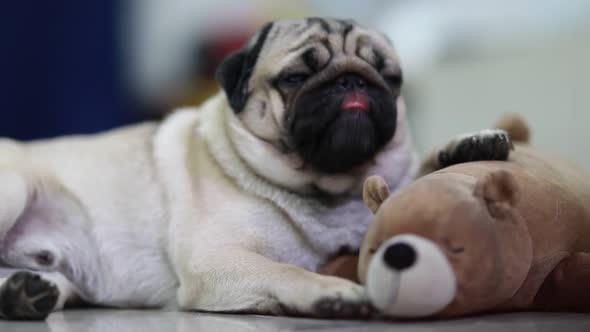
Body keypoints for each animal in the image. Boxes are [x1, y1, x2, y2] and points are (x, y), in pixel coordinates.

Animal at [0, 17, 512, 320]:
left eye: (389, 77)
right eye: (296, 78)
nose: (353, 81)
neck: (330, 189)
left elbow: (421, 170)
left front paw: (470, 144)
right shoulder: (217, 261)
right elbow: (285, 270)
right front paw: (328, 290)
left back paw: (23, 292)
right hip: (15, 188)